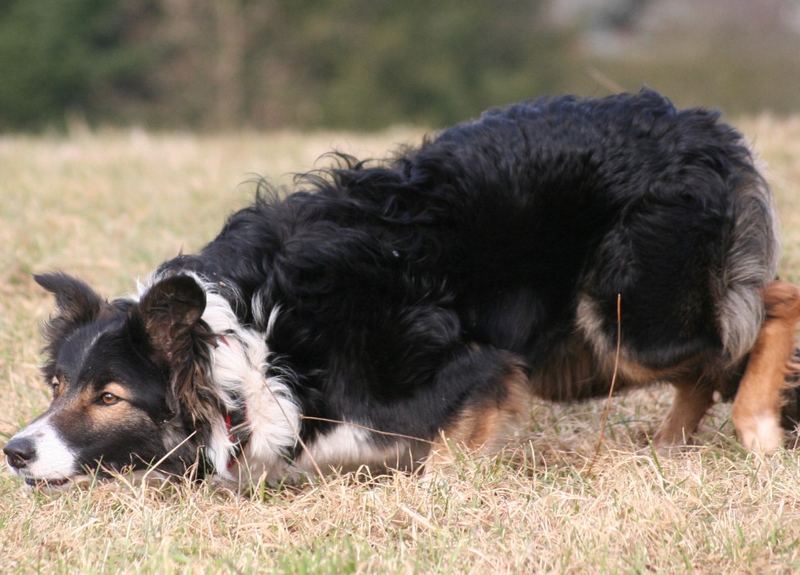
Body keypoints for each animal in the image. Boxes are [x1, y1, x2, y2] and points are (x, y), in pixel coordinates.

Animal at [1, 91, 792, 490]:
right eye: (59, 384)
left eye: (109, 397)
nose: (14, 450)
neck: (247, 355)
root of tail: (701, 124)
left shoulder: (477, 364)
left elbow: (440, 450)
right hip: (592, 352)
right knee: (711, 363)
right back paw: (668, 445)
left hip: (628, 319)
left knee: (773, 305)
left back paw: (756, 425)